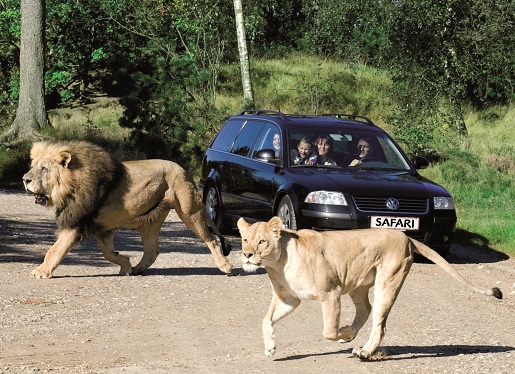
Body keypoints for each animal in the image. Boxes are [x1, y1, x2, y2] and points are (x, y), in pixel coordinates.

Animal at [23, 140, 233, 278]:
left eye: (44, 169)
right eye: (33, 166)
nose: (25, 179)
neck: (69, 184)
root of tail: (184, 170)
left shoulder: (76, 223)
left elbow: (55, 250)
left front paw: (41, 271)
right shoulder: (101, 228)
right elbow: (108, 253)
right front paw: (125, 264)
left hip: (190, 211)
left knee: (211, 239)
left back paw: (225, 266)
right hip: (150, 220)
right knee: (152, 250)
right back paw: (138, 269)